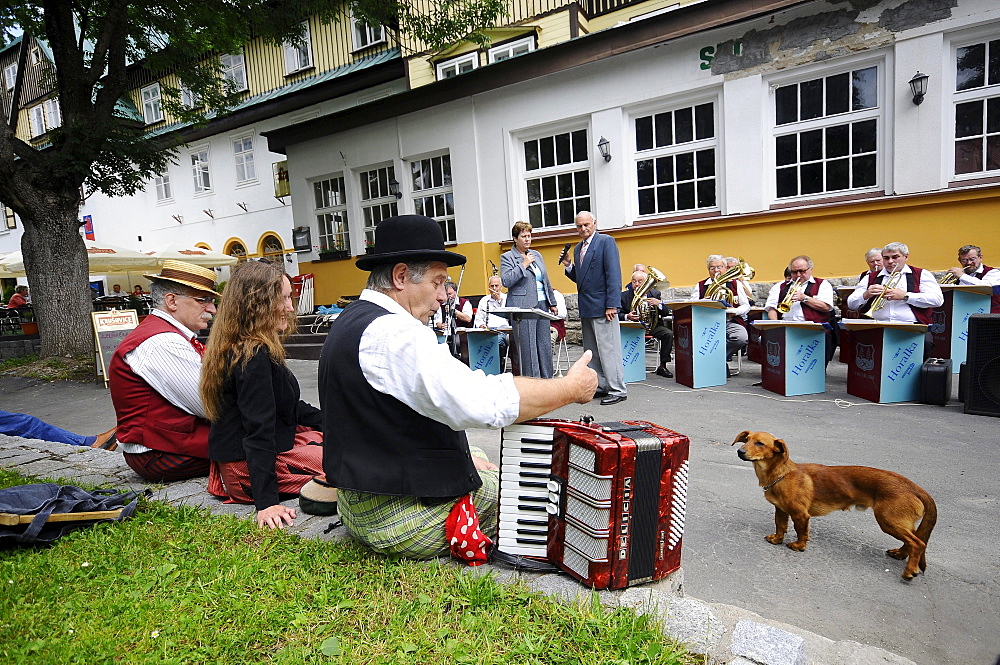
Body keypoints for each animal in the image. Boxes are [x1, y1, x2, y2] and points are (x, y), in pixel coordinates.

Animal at [732, 430, 932, 576]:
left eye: (760, 443)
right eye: (746, 440)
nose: (740, 451)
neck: (781, 474)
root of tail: (915, 487)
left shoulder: (800, 515)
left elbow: (801, 532)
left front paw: (799, 546)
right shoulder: (781, 510)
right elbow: (780, 526)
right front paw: (777, 540)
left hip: (888, 521)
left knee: (918, 543)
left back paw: (909, 571)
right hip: (900, 523)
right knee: (913, 540)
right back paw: (900, 554)